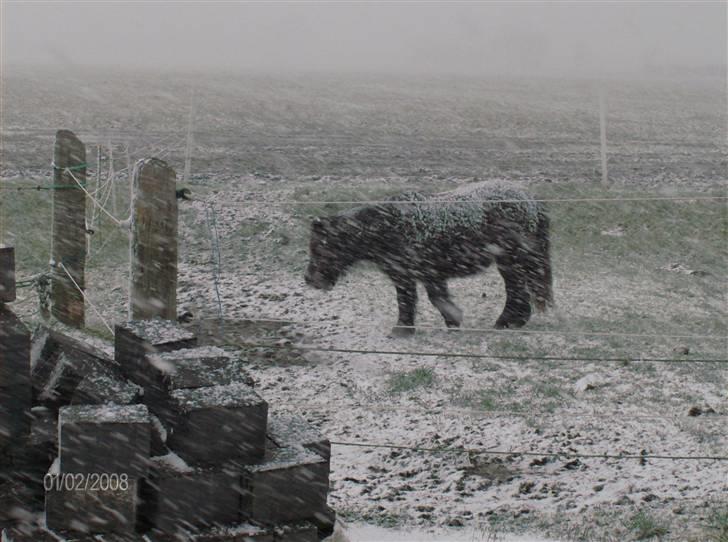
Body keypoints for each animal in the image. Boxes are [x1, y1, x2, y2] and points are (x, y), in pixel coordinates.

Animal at [304, 182, 553, 336]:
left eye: (320, 246)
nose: (309, 279)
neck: (386, 226)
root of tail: (531, 200)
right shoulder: (430, 274)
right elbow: (436, 298)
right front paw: (453, 323)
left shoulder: (406, 275)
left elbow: (408, 300)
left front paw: (402, 330)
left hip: (511, 260)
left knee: (516, 291)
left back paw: (506, 322)